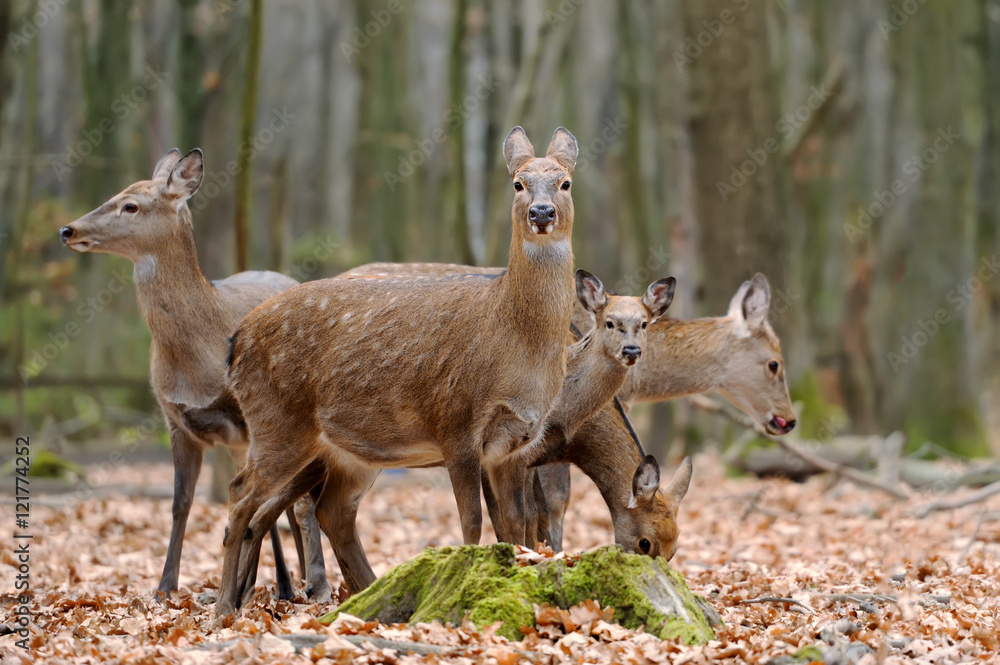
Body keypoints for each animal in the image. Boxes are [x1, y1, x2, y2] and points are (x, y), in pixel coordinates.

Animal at [57, 149, 332, 600]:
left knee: (294, 500)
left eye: (130, 205)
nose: (68, 229)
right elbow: (181, 502)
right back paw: (278, 583)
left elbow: (268, 501)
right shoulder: (176, 420)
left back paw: (310, 583)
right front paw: (166, 586)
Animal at [215, 128, 584, 624]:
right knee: (240, 496)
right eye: (518, 184)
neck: (516, 346)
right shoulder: (456, 420)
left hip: (346, 451)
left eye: (564, 183)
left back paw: (367, 595)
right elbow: (472, 519)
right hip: (277, 421)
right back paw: (222, 609)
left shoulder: (513, 443)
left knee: (332, 511)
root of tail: (236, 342)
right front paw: (464, 579)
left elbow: (517, 524)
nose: (541, 213)